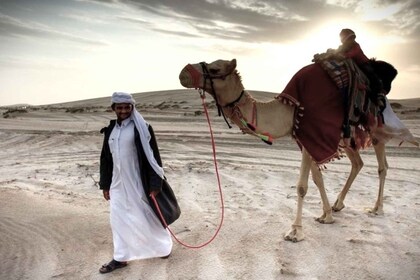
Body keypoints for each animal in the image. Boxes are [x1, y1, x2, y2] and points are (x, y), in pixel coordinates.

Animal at [177, 58, 416, 241]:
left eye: (215, 69)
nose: (183, 72)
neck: (290, 109)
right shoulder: (305, 138)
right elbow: (318, 179)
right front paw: (326, 215)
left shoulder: (311, 132)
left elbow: (302, 186)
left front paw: (295, 232)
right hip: (348, 137)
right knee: (358, 163)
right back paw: (338, 205)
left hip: (376, 126)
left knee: (382, 166)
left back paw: (377, 208)